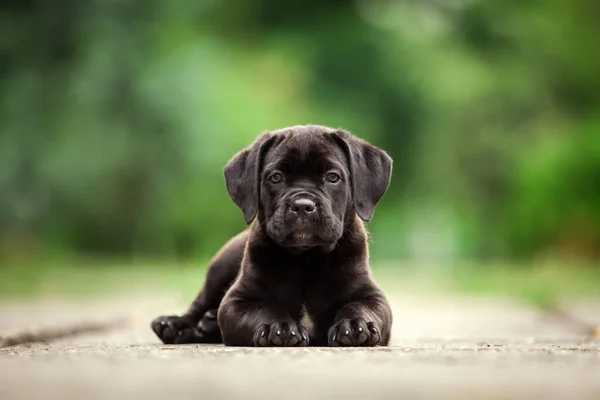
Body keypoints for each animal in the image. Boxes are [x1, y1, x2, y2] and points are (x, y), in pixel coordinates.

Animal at [150, 125, 394, 346]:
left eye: (333, 177)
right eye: (275, 178)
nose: (302, 205)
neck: (306, 258)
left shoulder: (373, 297)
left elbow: (357, 306)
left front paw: (354, 324)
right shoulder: (236, 302)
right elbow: (263, 308)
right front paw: (280, 326)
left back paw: (206, 324)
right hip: (220, 266)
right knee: (199, 304)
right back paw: (175, 325)